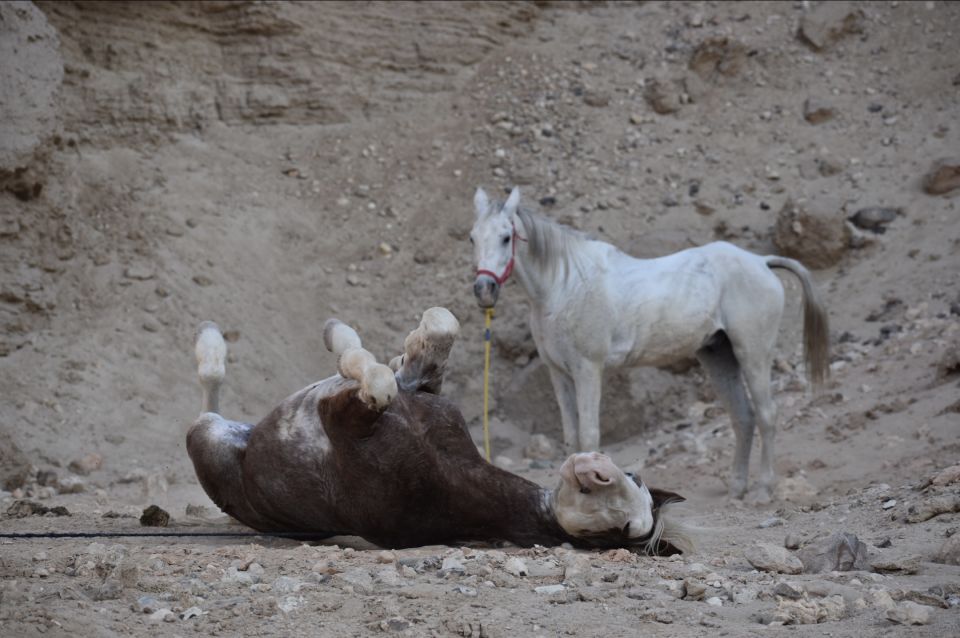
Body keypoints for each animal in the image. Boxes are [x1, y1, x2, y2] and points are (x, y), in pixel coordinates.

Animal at [186, 308, 688, 556]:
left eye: (627, 527)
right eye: (635, 476)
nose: (598, 468)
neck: (457, 473)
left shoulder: (342, 418)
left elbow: (377, 382)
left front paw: (363, 360)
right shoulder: (427, 393)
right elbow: (436, 333)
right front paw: (380, 346)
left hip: (206, 438)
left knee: (206, 402)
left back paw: (211, 345)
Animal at [468, 186, 828, 500]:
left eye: (506, 237)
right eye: (473, 237)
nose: (484, 289)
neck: (565, 286)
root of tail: (761, 261)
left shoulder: (588, 370)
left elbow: (588, 436)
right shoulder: (559, 374)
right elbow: (571, 438)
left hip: (753, 354)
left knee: (767, 414)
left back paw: (763, 490)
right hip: (719, 356)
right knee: (743, 417)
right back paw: (738, 488)